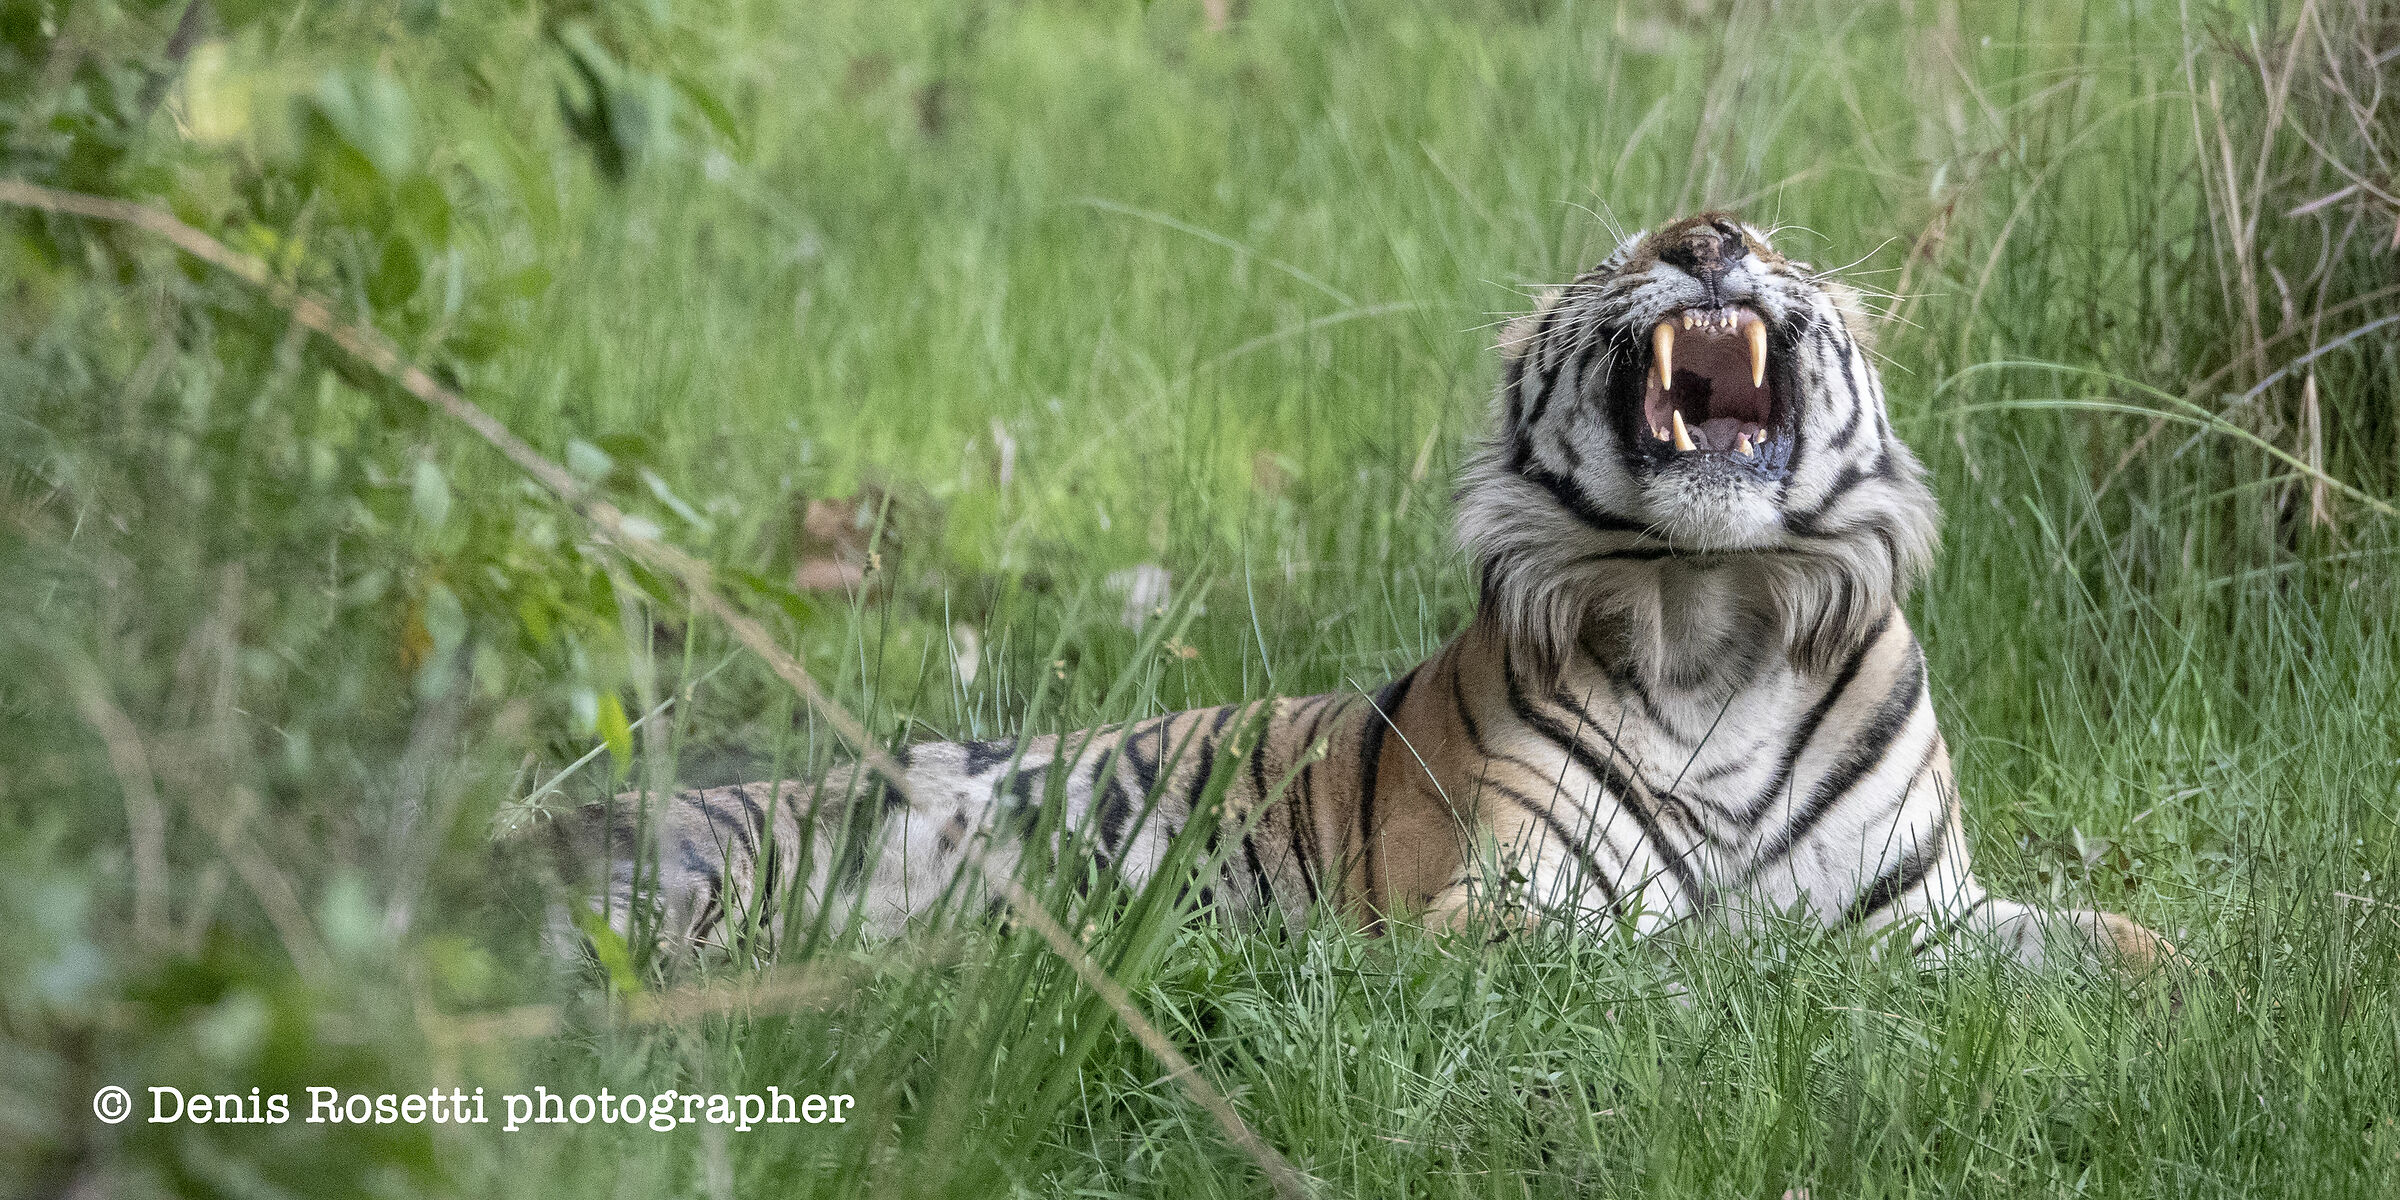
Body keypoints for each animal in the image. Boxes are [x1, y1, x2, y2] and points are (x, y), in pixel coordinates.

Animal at [571, 213, 2172, 974]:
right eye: (1627, 255)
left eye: (1772, 248)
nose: (1709, 238)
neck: (1715, 617)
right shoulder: (1494, 909)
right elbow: (1695, 956)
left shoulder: (1927, 908)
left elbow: (2117, 944)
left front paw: (2204, 989)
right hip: (713, 880)